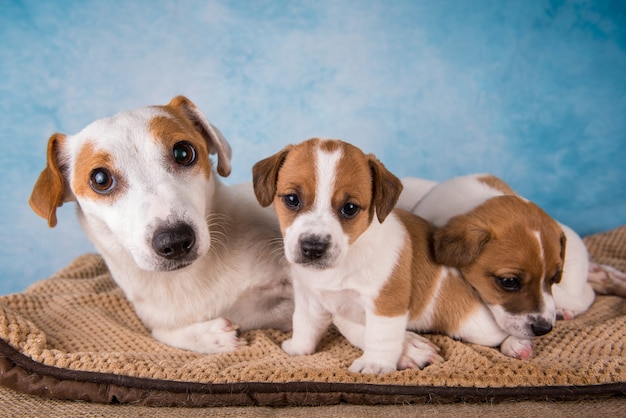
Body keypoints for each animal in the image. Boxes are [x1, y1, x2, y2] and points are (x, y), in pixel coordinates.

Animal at [29, 96, 292, 354]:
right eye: (100, 179)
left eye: (183, 153)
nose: (174, 241)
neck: (188, 279)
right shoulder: (157, 318)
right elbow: (160, 332)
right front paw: (210, 337)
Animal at [251, 139, 442, 374]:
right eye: (292, 199)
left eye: (350, 208)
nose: (313, 248)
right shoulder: (309, 295)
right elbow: (305, 321)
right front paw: (298, 347)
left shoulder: (381, 299)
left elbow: (378, 332)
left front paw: (378, 361)